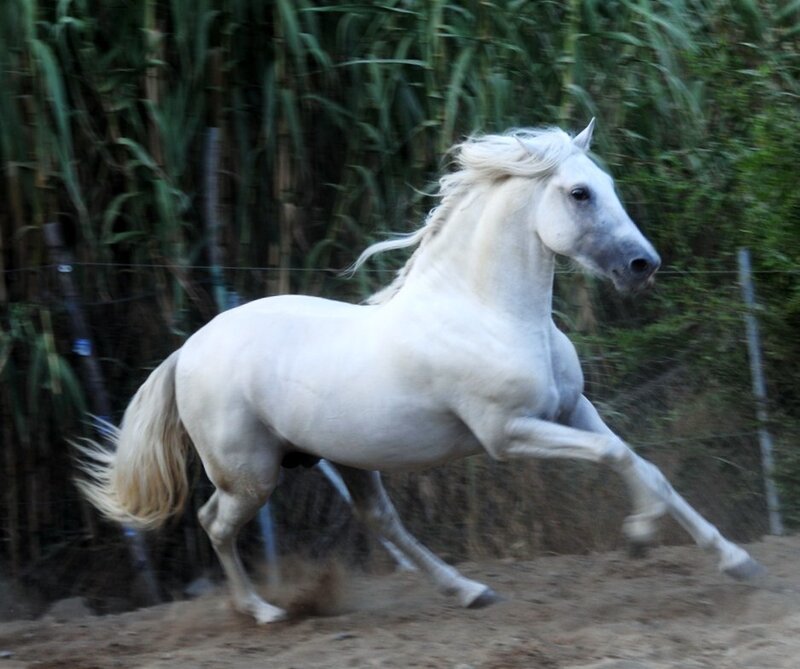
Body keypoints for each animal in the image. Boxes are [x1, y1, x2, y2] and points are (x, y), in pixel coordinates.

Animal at [76, 120, 763, 624]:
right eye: (579, 193)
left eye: (607, 182)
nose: (644, 265)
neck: (489, 312)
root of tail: (188, 350)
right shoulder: (508, 433)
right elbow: (617, 458)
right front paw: (641, 534)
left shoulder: (572, 410)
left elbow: (642, 463)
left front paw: (733, 559)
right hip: (251, 473)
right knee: (214, 522)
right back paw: (264, 612)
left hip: (346, 456)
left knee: (381, 522)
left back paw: (470, 592)